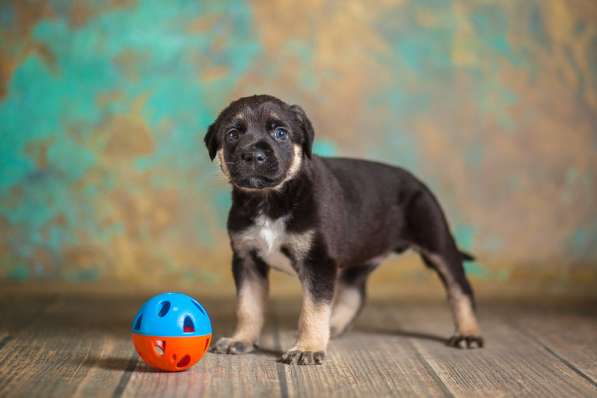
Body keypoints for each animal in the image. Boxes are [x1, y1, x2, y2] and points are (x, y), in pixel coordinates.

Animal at [207, 95, 482, 366]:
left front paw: (307, 348)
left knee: (460, 289)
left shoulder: (318, 262)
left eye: (281, 133)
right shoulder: (247, 260)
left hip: (438, 243)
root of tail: (417, 181)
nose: (253, 155)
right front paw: (240, 340)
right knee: (354, 294)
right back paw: (332, 327)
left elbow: (313, 309)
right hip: (359, 259)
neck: (271, 199)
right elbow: (248, 305)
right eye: (232, 134)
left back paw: (468, 334)